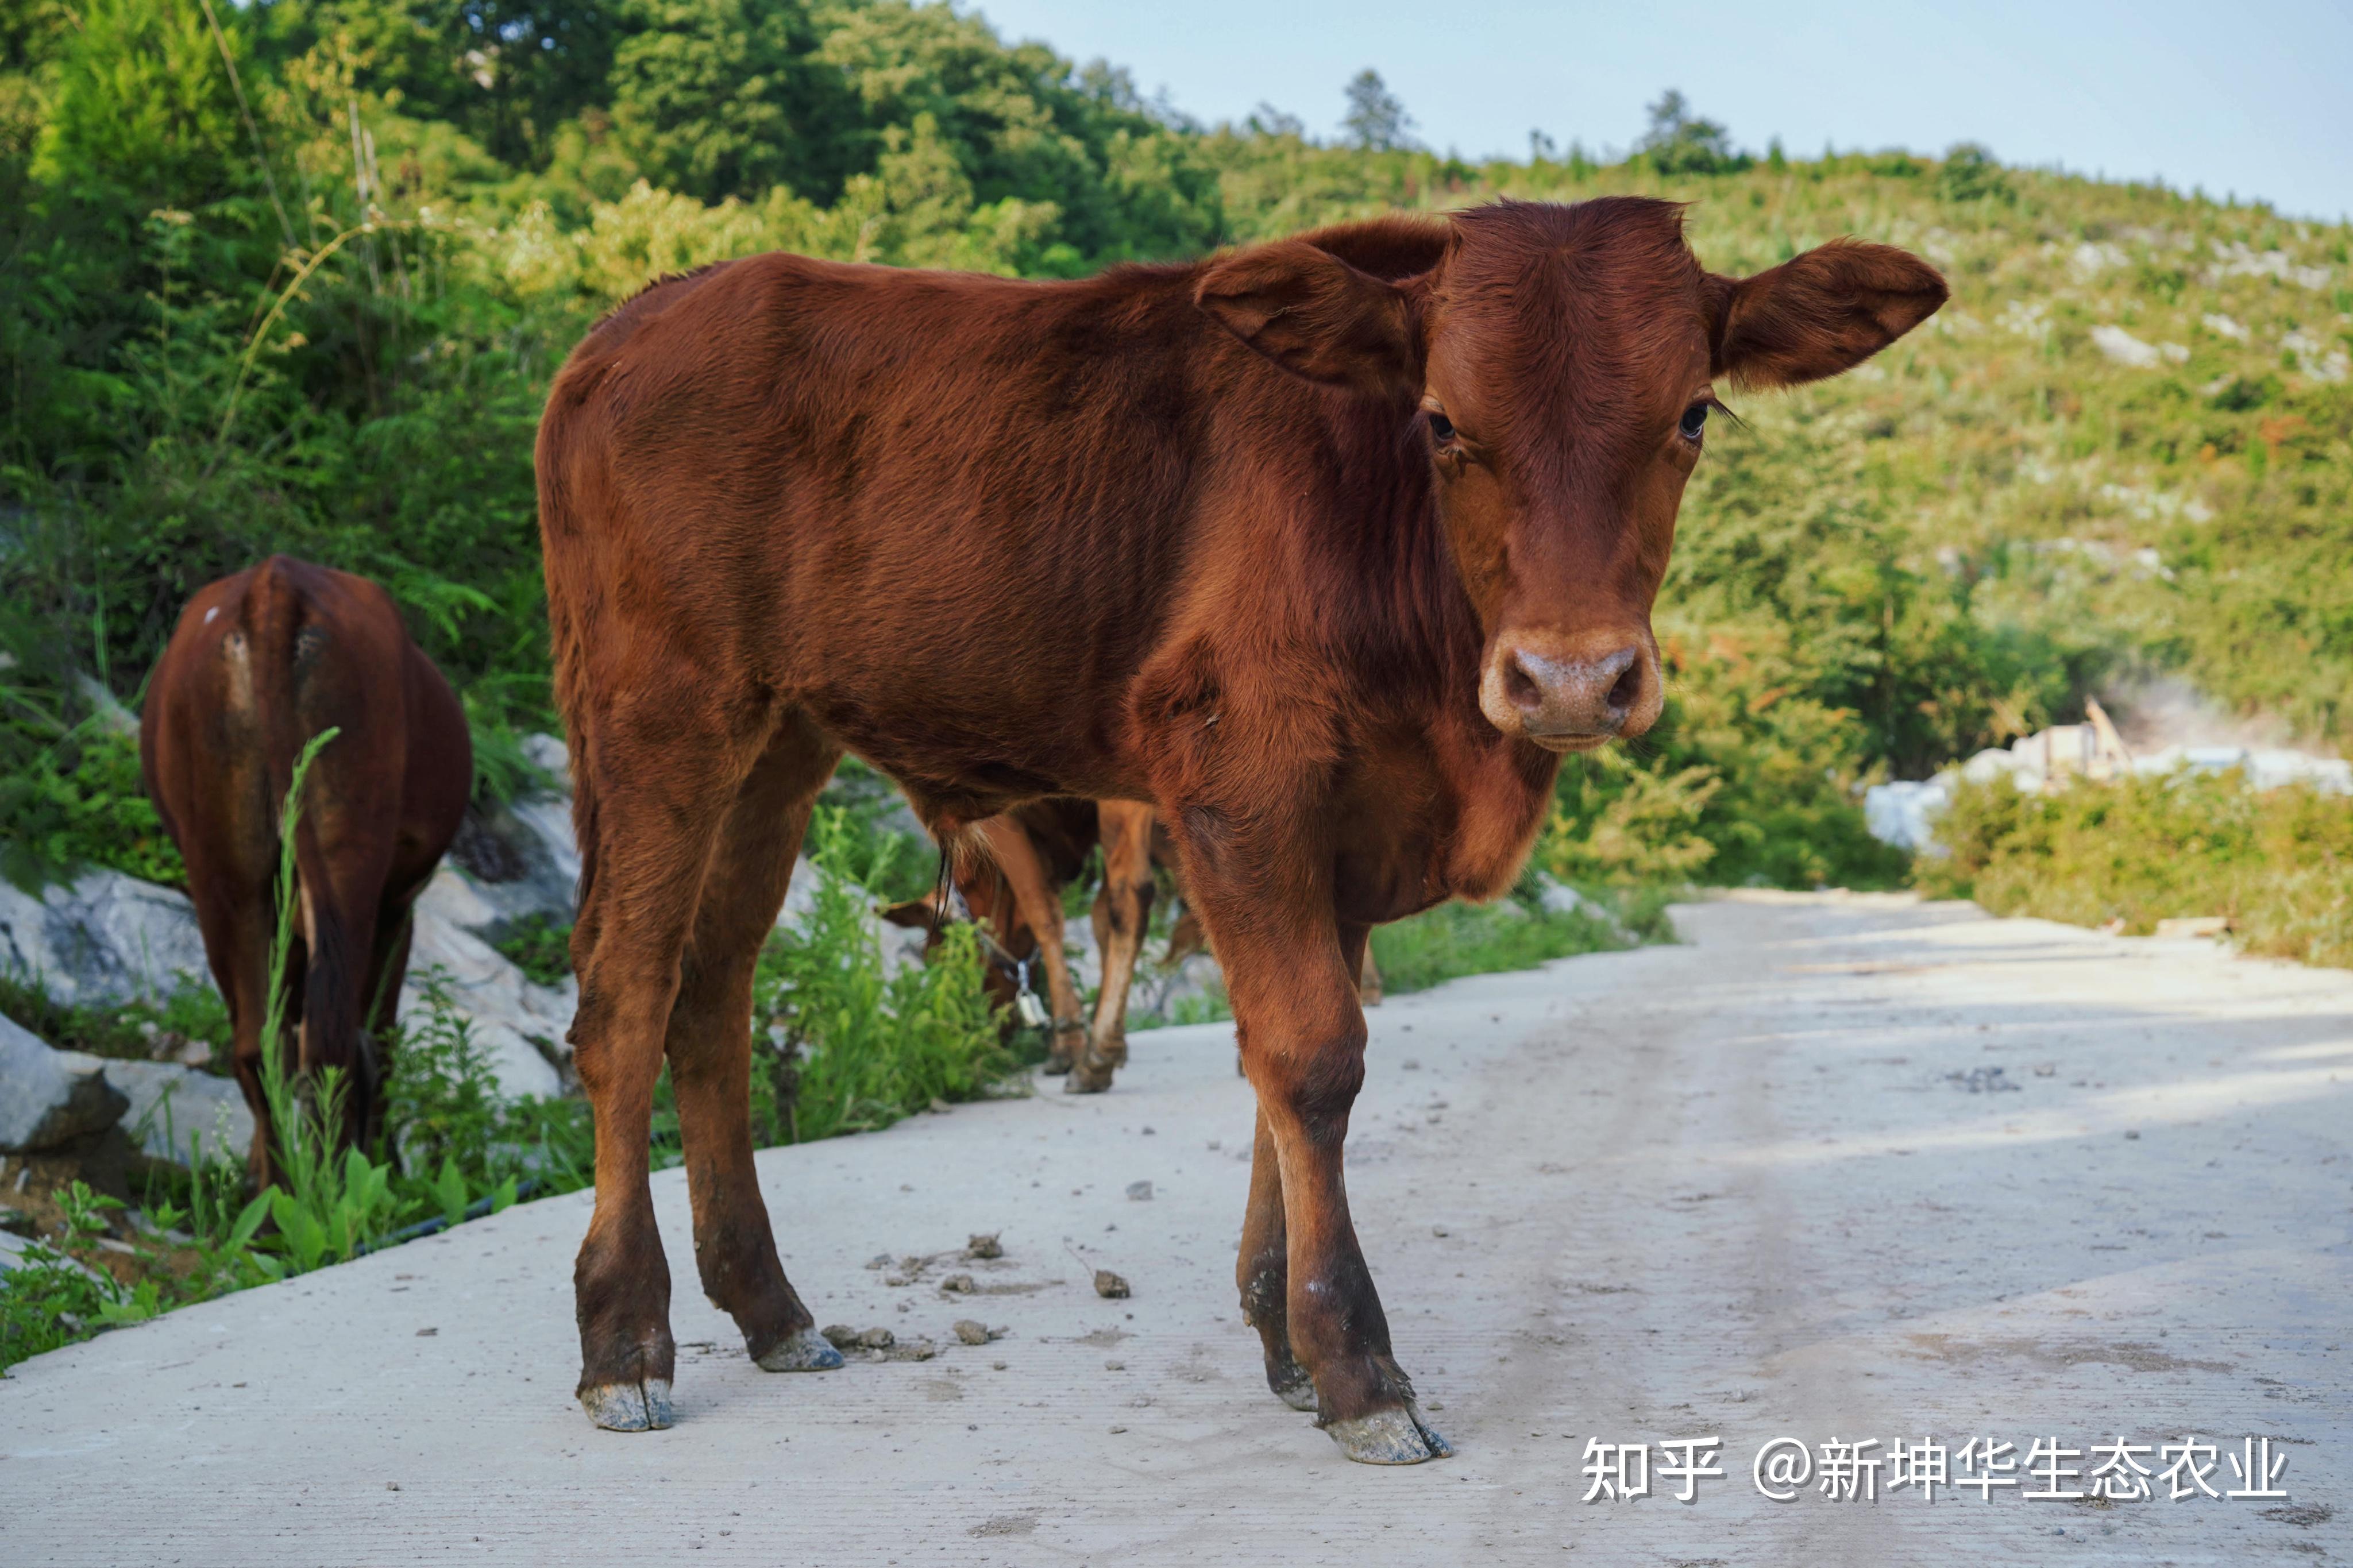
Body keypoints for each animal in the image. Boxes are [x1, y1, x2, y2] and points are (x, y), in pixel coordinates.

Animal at [141, 557, 468, 1184]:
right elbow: (382, 1037)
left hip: (223, 872)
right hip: (350, 853)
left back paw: (276, 1196)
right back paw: (331, 1185)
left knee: (259, 1043)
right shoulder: (399, 908)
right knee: (332, 1036)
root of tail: (274, 583)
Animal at [541, 196, 1939, 1457]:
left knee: (711, 990)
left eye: (1692, 414)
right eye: (1442, 421)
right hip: (660, 712)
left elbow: (1283, 1054)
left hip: (780, 740)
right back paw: (622, 1344)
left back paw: (770, 1309)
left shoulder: (1350, 828)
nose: (1572, 679)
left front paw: (1283, 1340)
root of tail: (643, 312)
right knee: (623, 995)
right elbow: (1311, 1056)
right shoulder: (1234, 768)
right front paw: (1357, 1367)